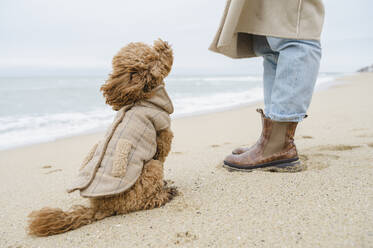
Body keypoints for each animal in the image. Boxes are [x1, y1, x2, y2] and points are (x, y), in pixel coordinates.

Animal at [27, 38, 176, 236]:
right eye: (152, 56)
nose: (163, 45)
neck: (143, 96)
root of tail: (100, 208)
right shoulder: (162, 135)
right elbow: (161, 152)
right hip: (151, 169)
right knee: (143, 200)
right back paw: (164, 194)